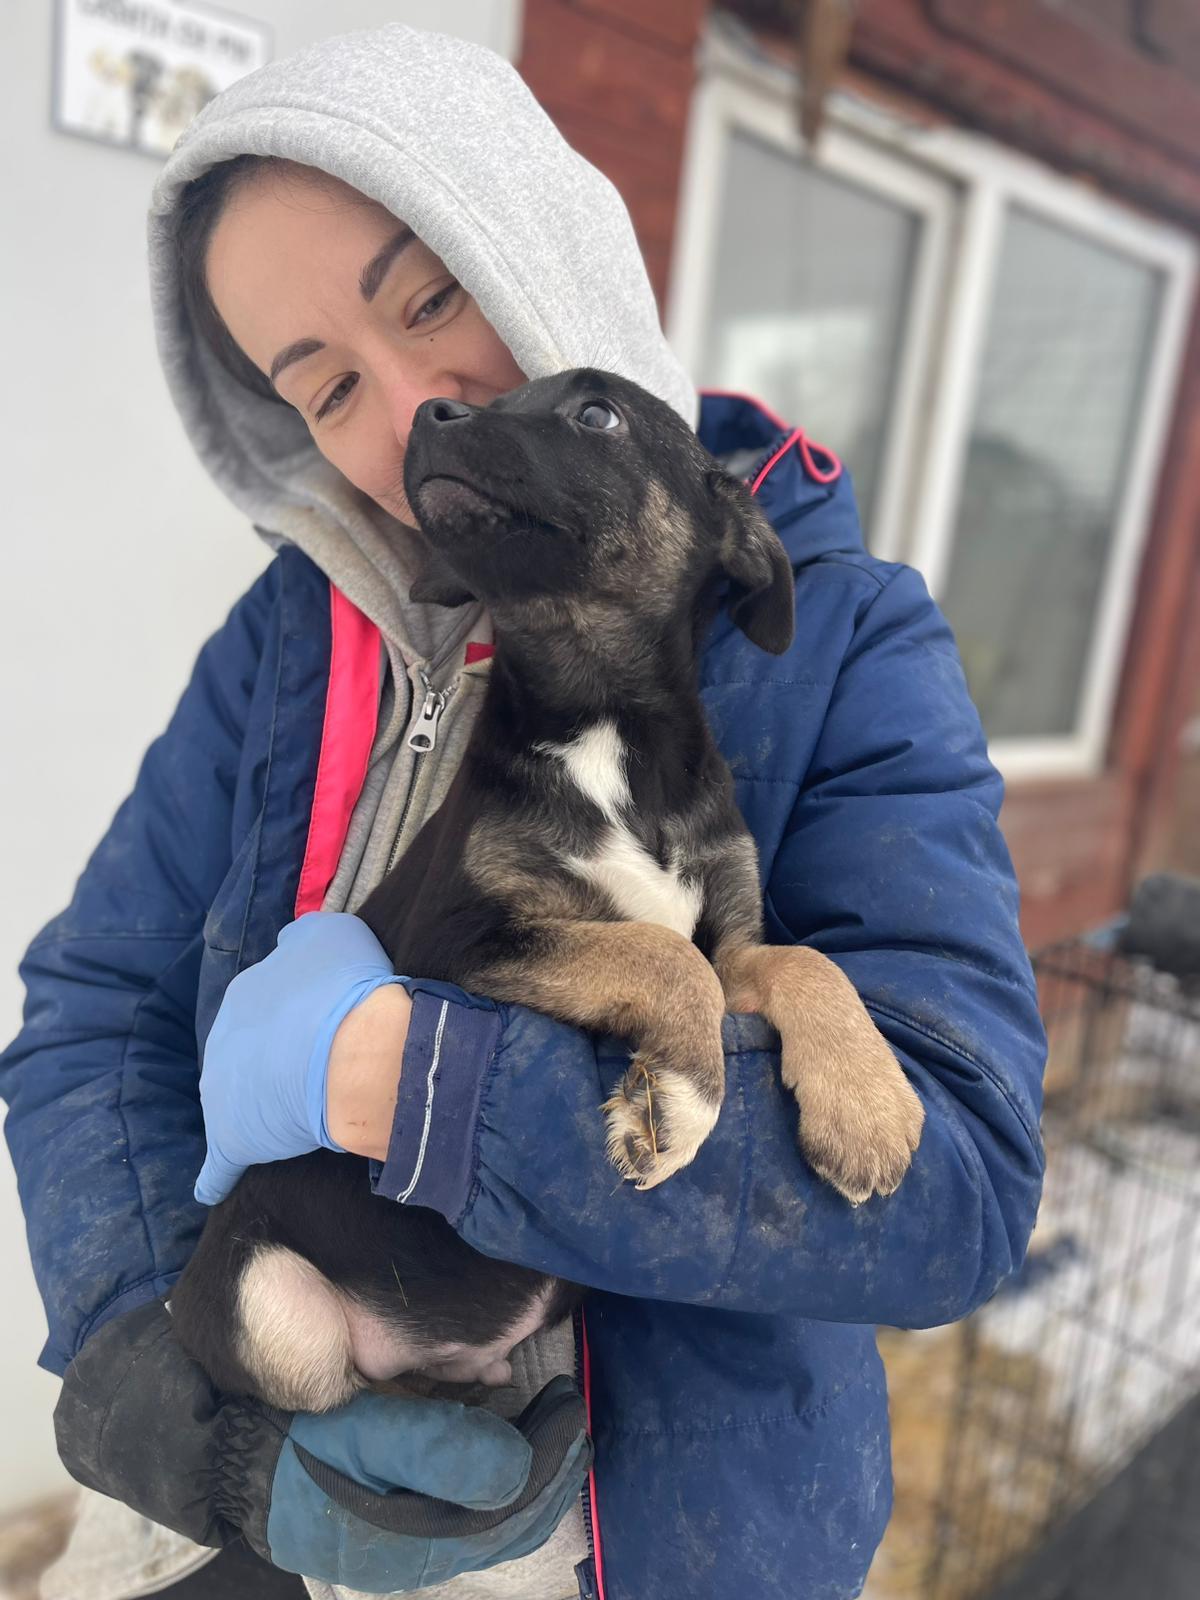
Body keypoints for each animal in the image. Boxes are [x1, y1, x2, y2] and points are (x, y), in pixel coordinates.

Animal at [170, 369, 924, 1412]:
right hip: (267, 1298)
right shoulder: (460, 943)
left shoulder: (729, 927)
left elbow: (798, 958)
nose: (428, 415)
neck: (601, 720)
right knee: (325, 1396)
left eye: (595, 414)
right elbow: (659, 955)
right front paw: (675, 1103)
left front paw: (869, 1105)